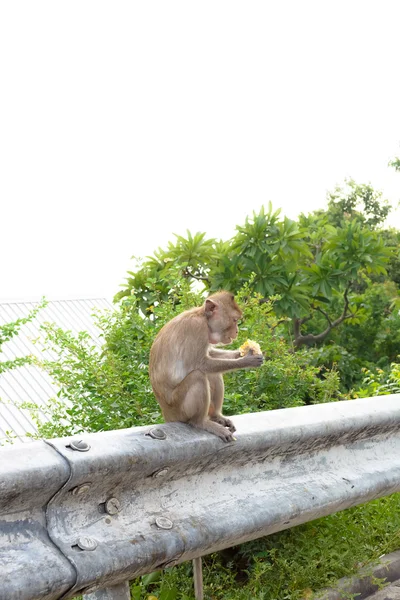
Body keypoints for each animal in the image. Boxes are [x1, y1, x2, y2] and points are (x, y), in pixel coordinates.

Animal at [148, 290, 264, 440]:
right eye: (234, 320)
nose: (237, 331)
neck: (202, 317)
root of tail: (166, 414)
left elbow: (211, 354)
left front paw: (241, 353)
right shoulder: (197, 329)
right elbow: (202, 363)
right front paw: (246, 360)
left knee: (213, 375)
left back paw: (216, 416)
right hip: (178, 408)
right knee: (198, 375)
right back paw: (201, 422)